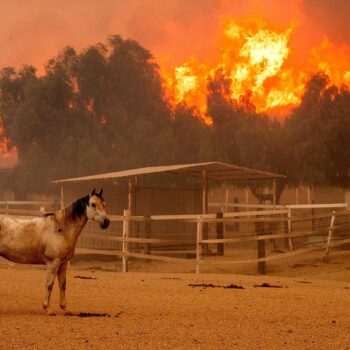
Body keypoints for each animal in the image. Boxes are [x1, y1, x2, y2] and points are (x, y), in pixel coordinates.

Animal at [0, 187, 110, 316]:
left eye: (104, 204)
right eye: (93, 204)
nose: (106, 222)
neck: (60, 228)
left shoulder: (63, 263)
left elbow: (63, 284)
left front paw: (65, 309)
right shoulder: (53, 262)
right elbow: (49, 284)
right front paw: (48, 309)